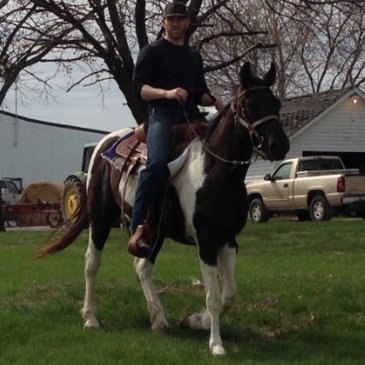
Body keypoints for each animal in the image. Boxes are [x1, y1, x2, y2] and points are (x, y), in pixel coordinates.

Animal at [37, 61, 288, 354]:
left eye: (276, 102)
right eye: (249, 103)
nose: (279, 145)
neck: (216, 171)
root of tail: (104, 143)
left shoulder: (228, 240)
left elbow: (229, 294)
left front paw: (194, 321)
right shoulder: (206, 241)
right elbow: (214, 296)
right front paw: (216, 345)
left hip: (152, 233)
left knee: (142, 267)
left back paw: (159, 319)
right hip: (100, 220)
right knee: (92, 263)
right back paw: (91, 318)